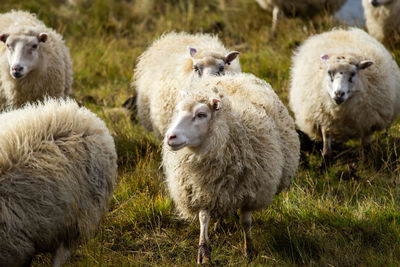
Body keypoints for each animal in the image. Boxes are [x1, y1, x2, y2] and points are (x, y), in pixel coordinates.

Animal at [162, 73, 300, 264]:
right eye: (179, 111)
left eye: (201, 114)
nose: (170, 137)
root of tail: (233, 76)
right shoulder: (203, 190)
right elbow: (203, 218)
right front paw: (203, 251)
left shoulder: (251, 192)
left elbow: (246, 222)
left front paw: (249, 250)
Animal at [290, 27, 400, 159]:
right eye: (329, 72)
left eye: (353, 73)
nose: (339, 94)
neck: (341, 112)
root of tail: (340, 30)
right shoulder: (324, 119)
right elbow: (326, 146)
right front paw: (326, 159)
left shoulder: (369, 123)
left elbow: (366, 147)